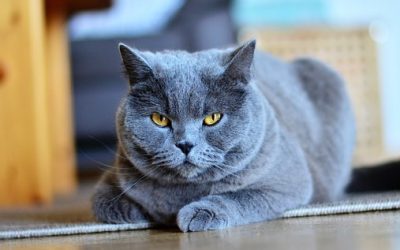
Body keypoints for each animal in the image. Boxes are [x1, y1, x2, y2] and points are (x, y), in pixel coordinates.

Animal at [92, 40, 354, 231]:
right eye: (160, 119)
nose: (185, 144)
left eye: (213, 118)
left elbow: (240, 195)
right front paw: (141, 213)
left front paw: (200, 213)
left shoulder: (288, 181)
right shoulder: (112, 177)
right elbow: (105, 204)